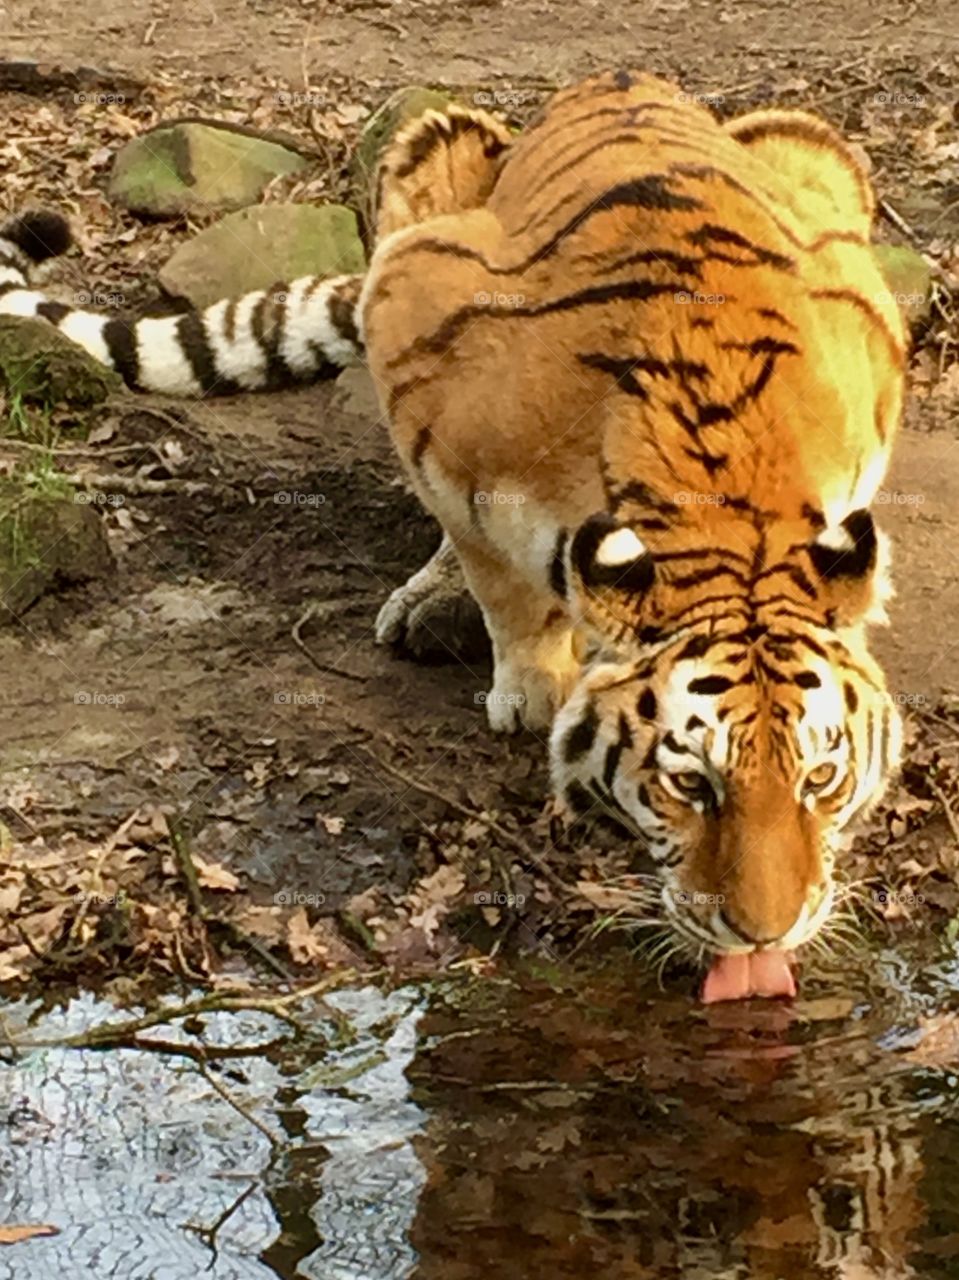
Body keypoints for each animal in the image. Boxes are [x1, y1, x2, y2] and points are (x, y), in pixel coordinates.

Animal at [0, 70, 907, 1001]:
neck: (725, 519)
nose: (767, 931)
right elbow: (498, 578)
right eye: (690, 784)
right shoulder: (424, 361)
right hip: (419, 165)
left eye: (820, 777)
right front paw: (530, 689)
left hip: (812, 148)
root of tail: (612, 79)